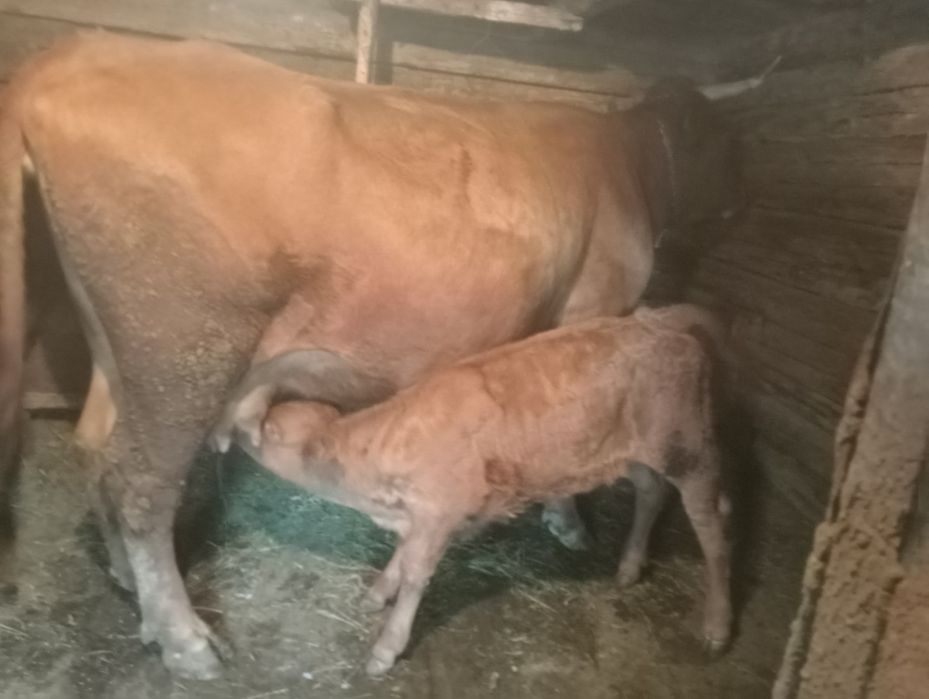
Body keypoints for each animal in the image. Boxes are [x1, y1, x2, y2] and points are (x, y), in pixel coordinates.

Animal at [0, 32, 745, 678]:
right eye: (715, 142)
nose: (736, 202)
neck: (623, 162)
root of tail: (77, 50)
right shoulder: (593, 305)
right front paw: (565, 520)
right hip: (182, 352)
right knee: (141, 485)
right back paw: (184, 638)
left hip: (118, 343)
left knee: (96, 448)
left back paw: (130, 583)